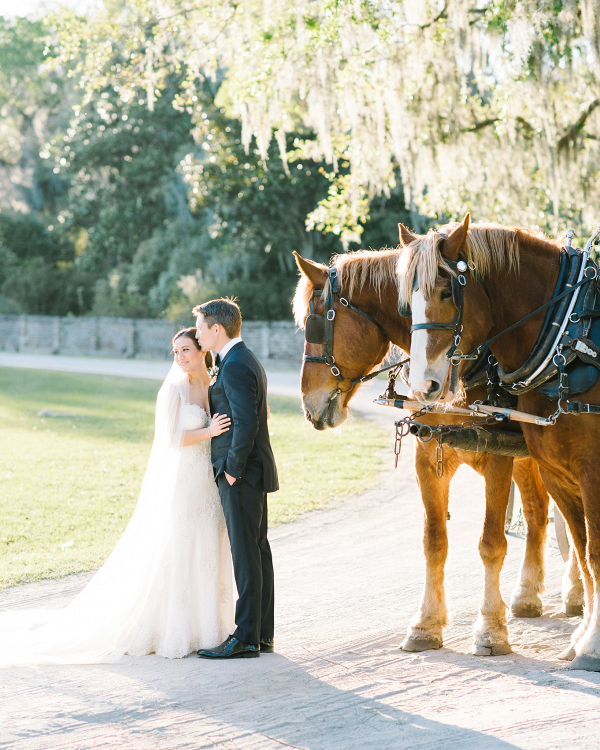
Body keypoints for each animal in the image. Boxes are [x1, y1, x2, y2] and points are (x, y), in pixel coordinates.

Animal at [296, 248, 580, 656]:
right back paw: (528, 594)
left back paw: (574, 592)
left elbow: (491, 543)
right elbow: (434, 543)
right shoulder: (429, 455)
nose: (308, 405)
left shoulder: (498, 457)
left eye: (314, 324)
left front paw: (491, 629)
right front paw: (426, 624)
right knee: (539, 514)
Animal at [404, 214, 600, 672]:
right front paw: (583, 638)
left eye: (446, 292)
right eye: (407, 301)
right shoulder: (556, 471)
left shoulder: (590, 472)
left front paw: (593, 644)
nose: (424, 386)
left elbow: (593, 553)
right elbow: (584, 551)